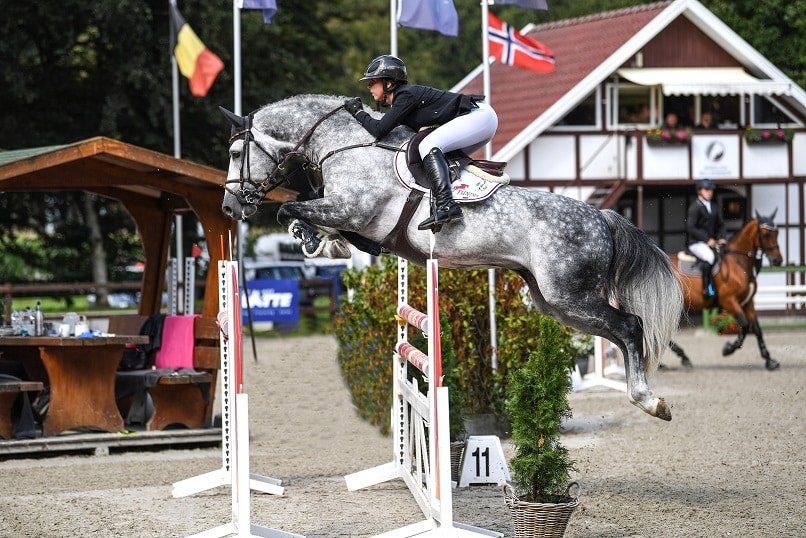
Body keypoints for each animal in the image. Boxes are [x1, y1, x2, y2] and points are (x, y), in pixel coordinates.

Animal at [219, 94, 684, 421]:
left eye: (235, 154)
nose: (230, 208)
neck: (345, 145)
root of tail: (602, 216)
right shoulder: (351, 218)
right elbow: (309, 215)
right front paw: (325, 243)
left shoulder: (351, 209)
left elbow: (290, 208)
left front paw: (310, 237)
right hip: (555, 302)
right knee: (619, 333)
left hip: (570, 295)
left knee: (630, 326)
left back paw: (650, 401)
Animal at [670, 212, 783, 370]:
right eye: (766, 234)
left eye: (777, 232)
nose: (778, 260)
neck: (738, 263)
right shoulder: (729, 301)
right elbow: (745, 325)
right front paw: (728, 349)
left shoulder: (747, 303)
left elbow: (757, 329)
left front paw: (769, 361)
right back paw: (680, 358)